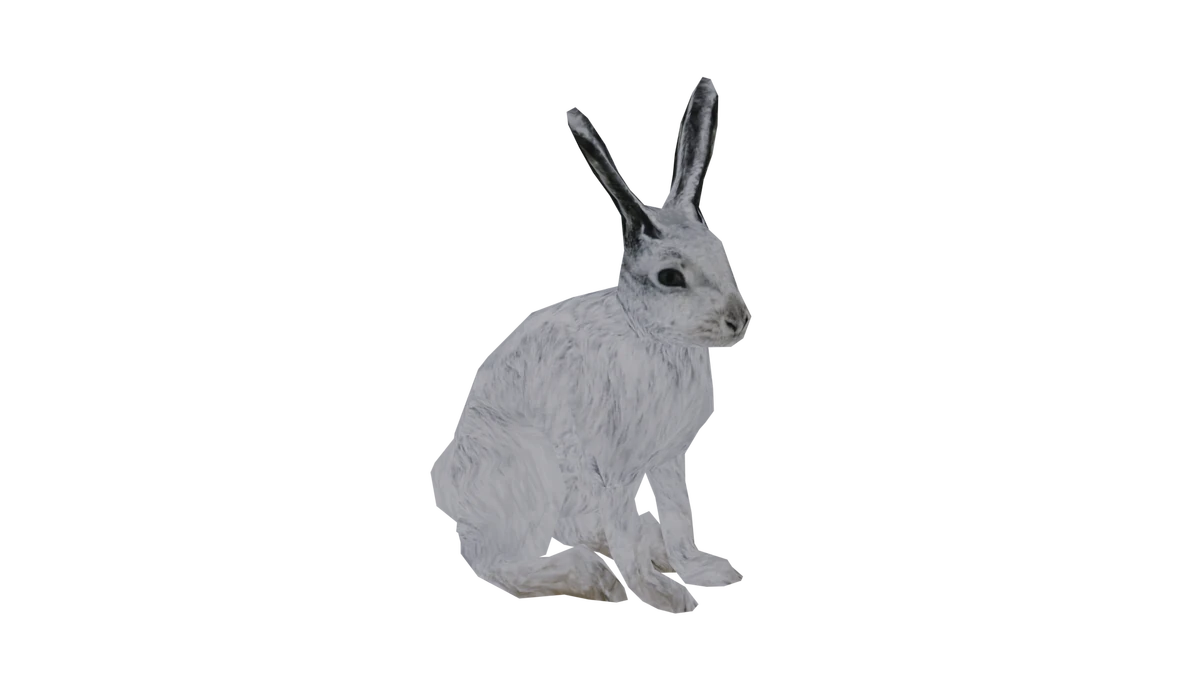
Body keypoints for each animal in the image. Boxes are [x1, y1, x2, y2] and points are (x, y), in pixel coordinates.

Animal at [429, 72, 748, 614]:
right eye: (670, 277)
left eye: (722, 251)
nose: (738, 319)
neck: (654, 340)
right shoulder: (612, 473)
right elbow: (627, 538)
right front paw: (655, 594)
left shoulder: (668, 466)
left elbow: (678, 522)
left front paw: (706, 575)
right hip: (535, 473)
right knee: (508, 567)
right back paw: (593, 581)